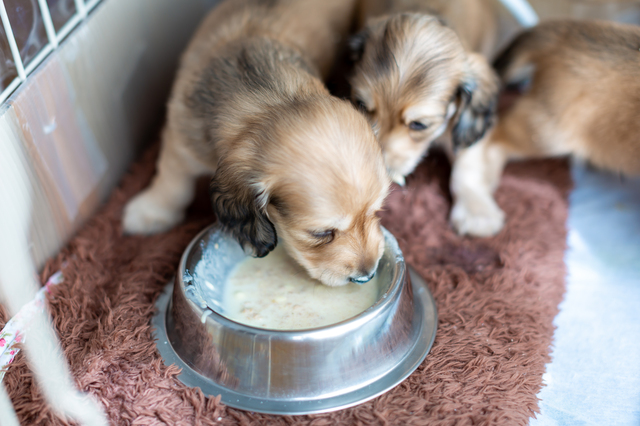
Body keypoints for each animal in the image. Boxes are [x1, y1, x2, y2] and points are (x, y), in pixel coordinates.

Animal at [121, 0, 390, 286]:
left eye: (376, 211)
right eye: (320, 233)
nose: (367, 274)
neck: (268, 97)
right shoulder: (181, 136)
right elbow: (172, 181)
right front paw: (152, 211)